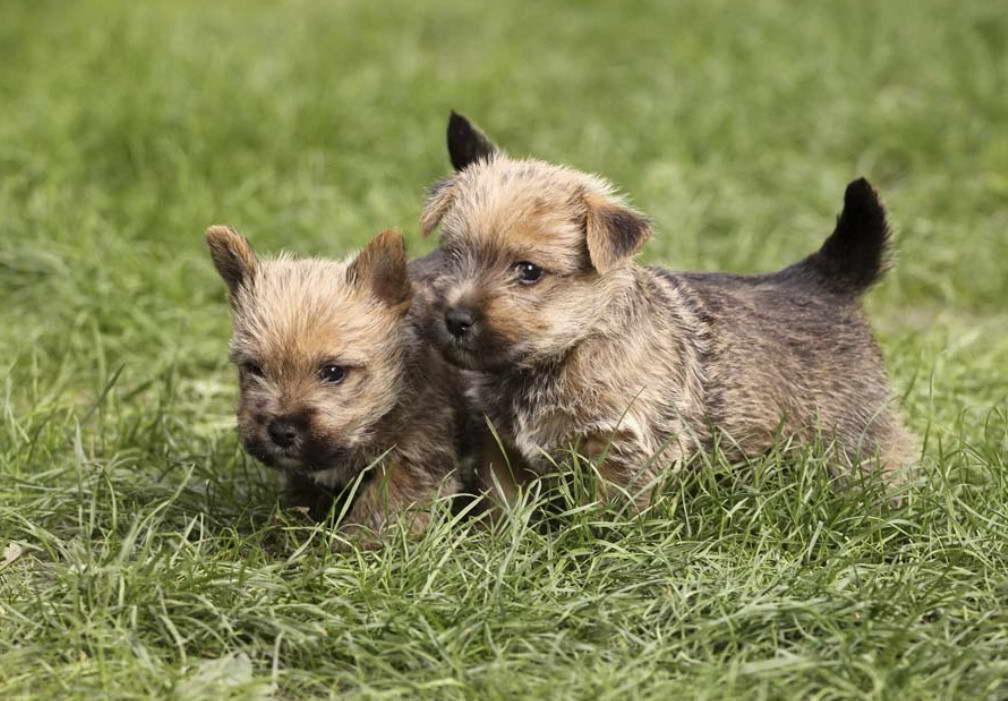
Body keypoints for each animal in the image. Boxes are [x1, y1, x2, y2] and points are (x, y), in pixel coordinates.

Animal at [205, 229, 463, 544]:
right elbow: (303, 501)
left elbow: (380, 511)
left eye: (333, 372)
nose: (281, 431)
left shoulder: (414, 460)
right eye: (254, 368)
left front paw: (350, 547)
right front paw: (287, 536)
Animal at [415, 113, 915, 510]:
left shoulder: (624, 450)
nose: (455, 319)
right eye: (453, 255)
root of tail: (825, 277)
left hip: (856, 438)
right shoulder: (502, 449)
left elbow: (605, 518)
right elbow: (504, 509)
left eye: (529, 271)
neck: (564, 355)